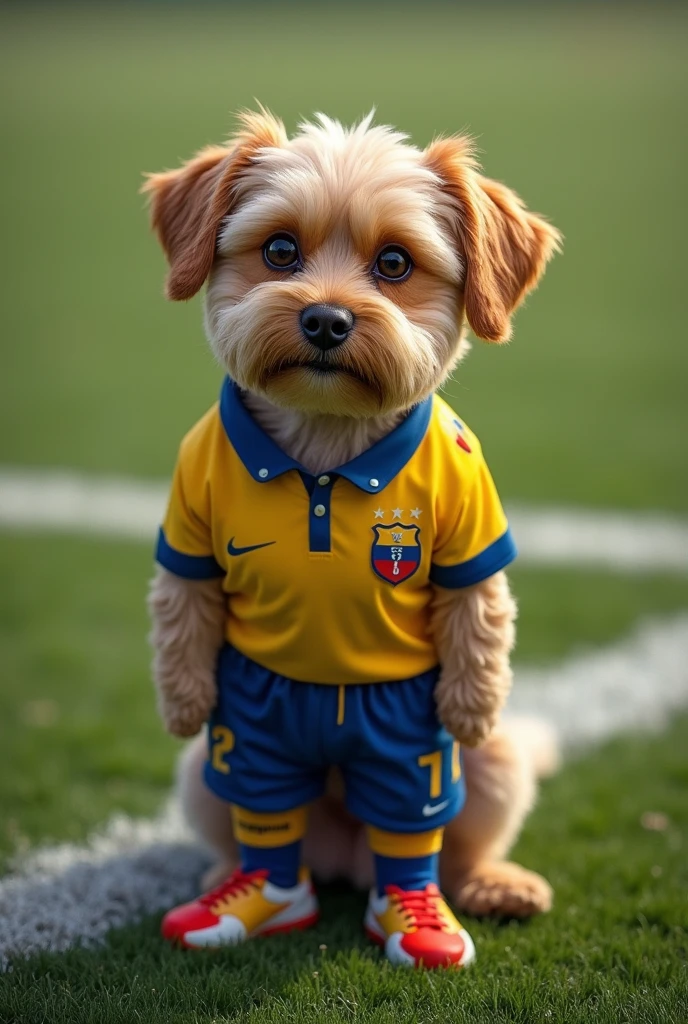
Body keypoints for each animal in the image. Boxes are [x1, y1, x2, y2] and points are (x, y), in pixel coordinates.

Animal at [142, 112, 561, 966]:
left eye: (394, 263)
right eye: (279, 251)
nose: (326, 320)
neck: (327, 449)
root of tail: (343, 856)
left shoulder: (473, 535)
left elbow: (479, 616)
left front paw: (469, 705)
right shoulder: (188, 527)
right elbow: (180, 608)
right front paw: (183, 697)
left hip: (478, 770)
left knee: (435, 841)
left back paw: (475, 891)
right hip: (216, 765)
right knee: (262, 823)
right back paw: (234, 887)